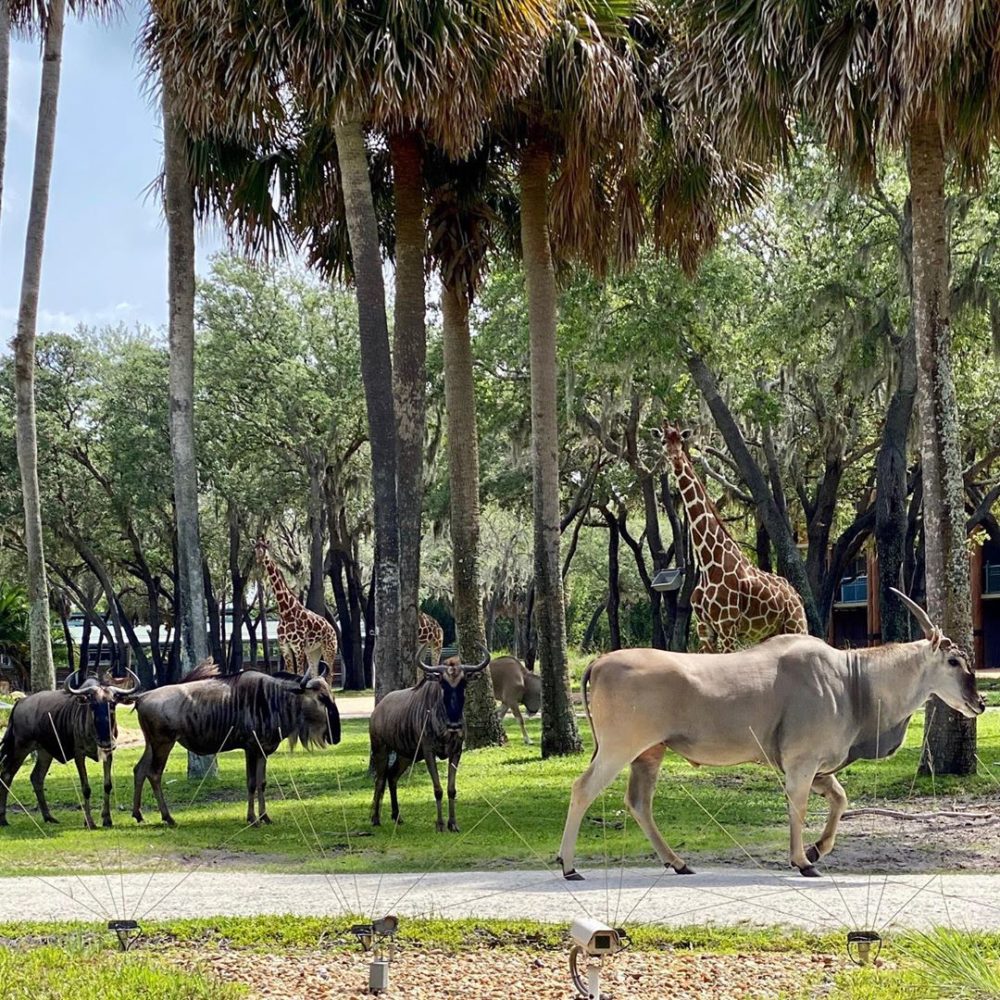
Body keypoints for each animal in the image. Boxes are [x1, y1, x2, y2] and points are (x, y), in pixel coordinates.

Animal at [254, 540, 340, 672]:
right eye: (255, 547)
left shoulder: (298, 646)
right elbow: (290, 672)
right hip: (313, 652)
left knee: (330, 674)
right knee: (315, 673)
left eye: (264, 547)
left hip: (329, 649)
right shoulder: (284, 647)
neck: (285, 611)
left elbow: (299, 673)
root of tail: (332, 629)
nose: (259, 558)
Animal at [660, 424, 808, 652]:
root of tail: (796, 595)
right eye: (663, 441)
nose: (675, 457)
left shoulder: (727, 626)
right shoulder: (704, 629)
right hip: (771, 633)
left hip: (796, 624)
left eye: (681, 441)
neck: (708, 562)